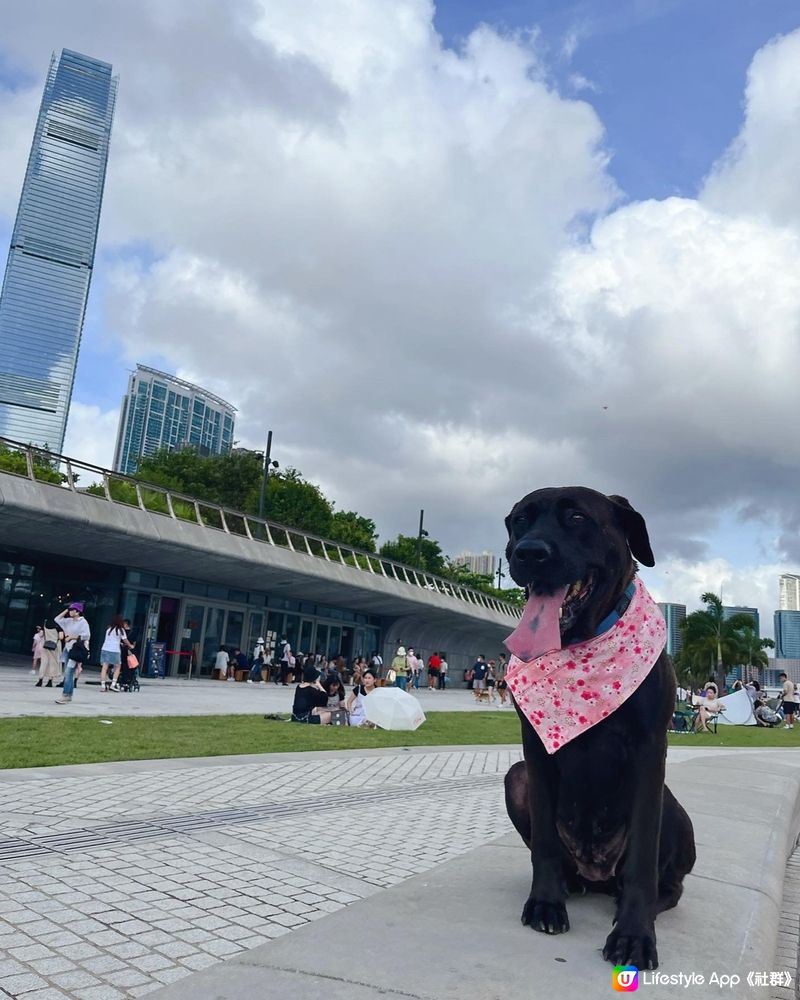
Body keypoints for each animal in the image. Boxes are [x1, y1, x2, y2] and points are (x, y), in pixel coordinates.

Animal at [506, 488, 692, 972]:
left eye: (576, 517)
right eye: (519, 520)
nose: (529, 552)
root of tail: (597, 873)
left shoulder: (650, 751)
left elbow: (643, 857)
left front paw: (634, 935)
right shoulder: (534, 749)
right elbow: (544, 844)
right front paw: (546, 903)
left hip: (673, 808)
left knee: (667, 883)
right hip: (515, 778)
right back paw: (570, 884)